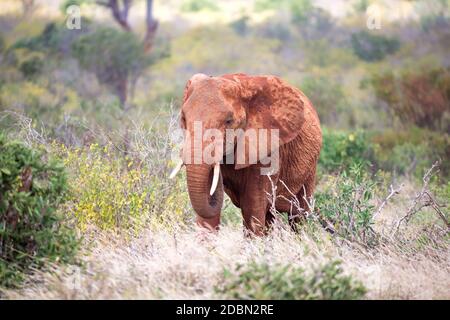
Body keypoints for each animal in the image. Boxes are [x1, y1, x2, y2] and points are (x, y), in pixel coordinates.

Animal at [171, 74, 322, 236]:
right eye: (183, 118)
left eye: (229, 121)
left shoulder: (267, 147)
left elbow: (253, 207)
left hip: (310, 167)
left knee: (298, 214)